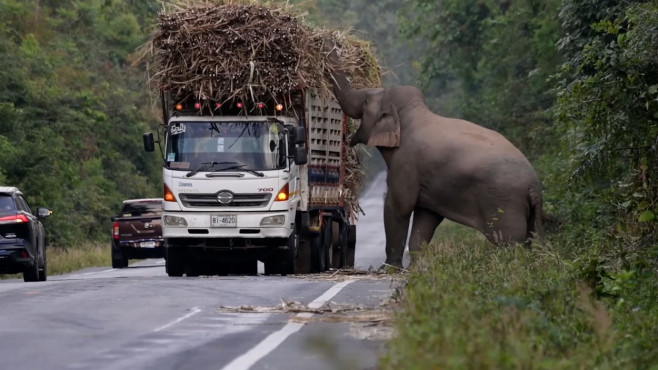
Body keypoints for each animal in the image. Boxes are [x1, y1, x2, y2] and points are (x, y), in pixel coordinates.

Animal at [322, 42, 544, 268]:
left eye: (366, 103)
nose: (331, 43)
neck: (411, 112)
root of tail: (534, 185)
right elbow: (426, 216)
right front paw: (416, 268)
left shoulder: (406, 164)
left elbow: (399, 206)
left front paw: (388, 268)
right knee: (529, 239)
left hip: (504, 203)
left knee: (510, 242)